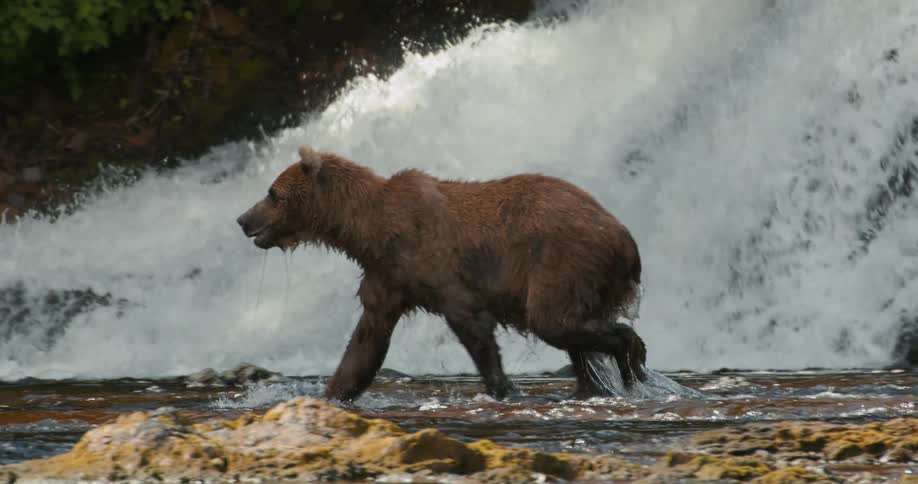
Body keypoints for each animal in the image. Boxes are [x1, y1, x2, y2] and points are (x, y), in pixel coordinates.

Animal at [237, 146, 647, 402]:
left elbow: (473, 327)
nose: (243, 219)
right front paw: (334, 393)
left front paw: (501, 387)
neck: (370, 231)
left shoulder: (437, 266)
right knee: (574, 340)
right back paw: (596, 384)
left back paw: (630, 358)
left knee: (554, 322)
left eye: (272, 193)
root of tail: (627, 239)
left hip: (564, 263)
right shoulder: (388, 277)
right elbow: (366, 344)